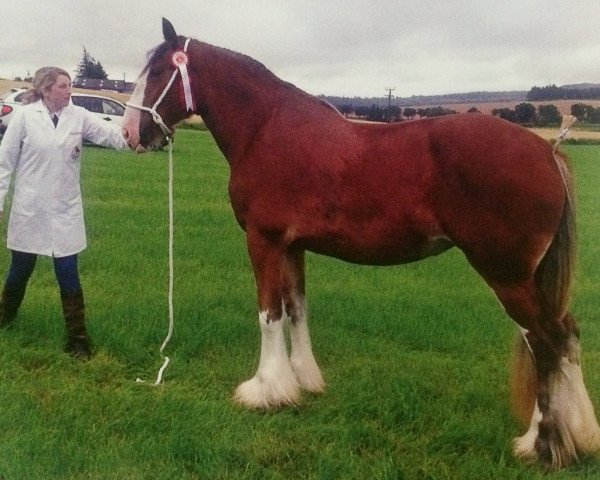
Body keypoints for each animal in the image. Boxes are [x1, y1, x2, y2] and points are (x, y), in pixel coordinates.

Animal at [123, 18, 600, 468]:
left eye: (160, 70)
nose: (130, 133)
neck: (265, 128)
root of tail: (548, 152)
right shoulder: (293, 247)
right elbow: (296, 311)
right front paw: (304, 382)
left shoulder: (265, 241)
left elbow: (269, 315)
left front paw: (264, 391)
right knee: (566, 336)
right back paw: (577, 435)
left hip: (506, 274)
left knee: (546, 344)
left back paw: (540, 446)